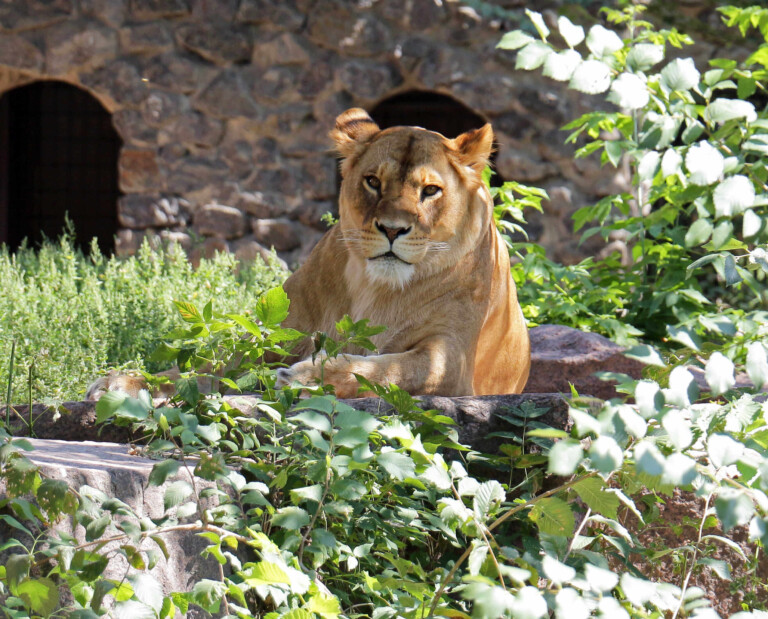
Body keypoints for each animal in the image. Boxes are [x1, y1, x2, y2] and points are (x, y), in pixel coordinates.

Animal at [86, 108, 530, 401]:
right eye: (372, 182)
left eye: (431, 190)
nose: (391, 229)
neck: (378, 289)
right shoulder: (276, 333)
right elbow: (207, 365)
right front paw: (125, 381)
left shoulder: (451, 360)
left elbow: (392, 369)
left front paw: (308, 378)